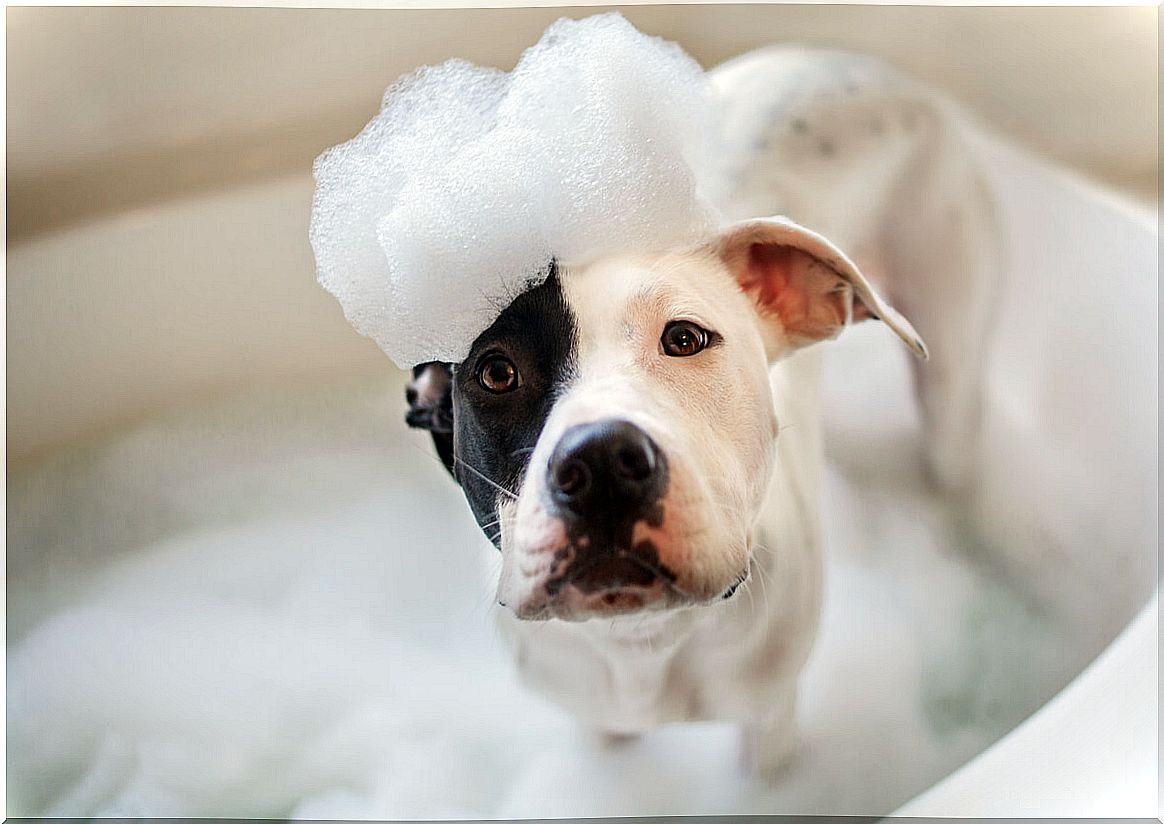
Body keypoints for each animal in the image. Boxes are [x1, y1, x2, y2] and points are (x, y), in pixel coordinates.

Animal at [402, 48, 1001, 777]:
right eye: (495, 372)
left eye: (685, 338)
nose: (601, 462)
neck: (643, 643)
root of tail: (851, 60)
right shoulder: (593, 715)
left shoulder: (770, 720)